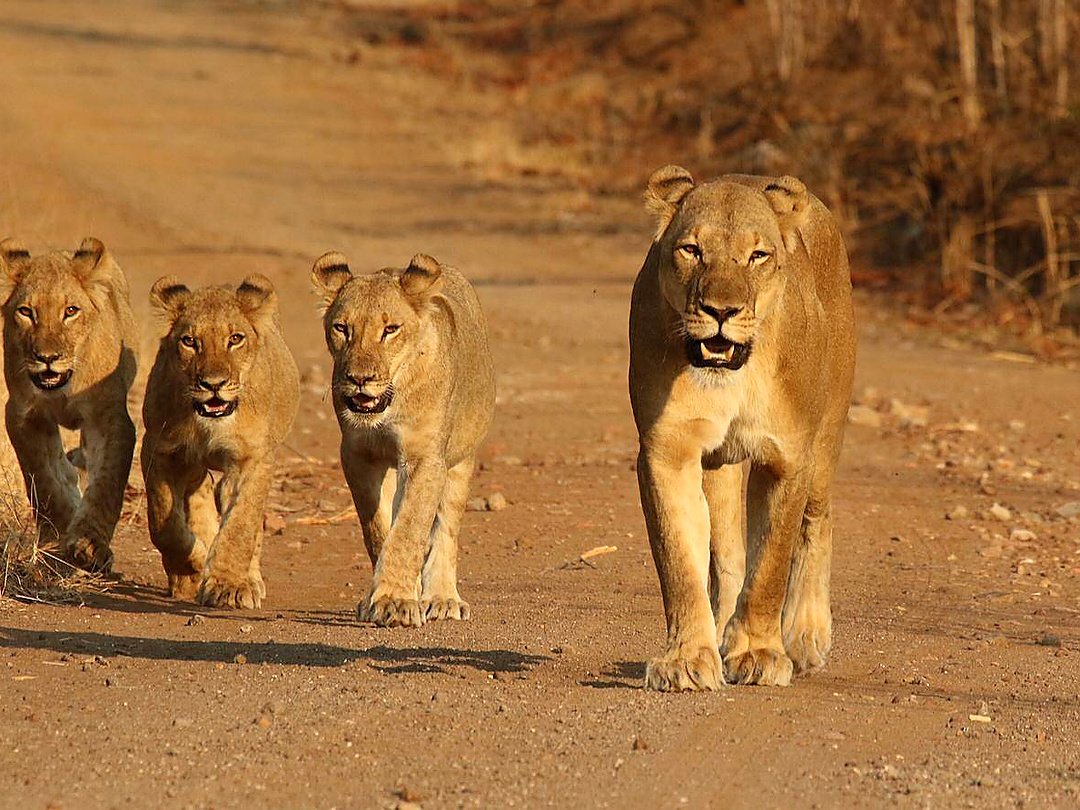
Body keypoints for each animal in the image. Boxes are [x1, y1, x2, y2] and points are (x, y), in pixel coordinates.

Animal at [1, 237, 138, 571]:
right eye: (26, 312)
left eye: (71, 311)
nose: (47, 357)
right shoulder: (23, 414)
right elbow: (42, 479)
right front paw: (59, 535)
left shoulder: (109, 417)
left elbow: (107, 483)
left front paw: (89, 545)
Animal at [141, 274, 299, 609]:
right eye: (189, 341)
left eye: (235, 338)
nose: (213, 384)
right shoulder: (159, 450)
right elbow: (163, 524)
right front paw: (192, 568)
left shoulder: (253, 459)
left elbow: (241, 525)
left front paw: (230, 586)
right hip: (192, 466)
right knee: (198, 497)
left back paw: (249, 579)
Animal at [311, 251, 495, 627]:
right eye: (342, 328)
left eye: (390, 329)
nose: (360, 379)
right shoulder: (358, 455)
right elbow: (379, 529)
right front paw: (392, 595)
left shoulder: (425, 457)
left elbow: (410, 528)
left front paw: (394, 601)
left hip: (461, 458)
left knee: (446, 528)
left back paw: (442, 598)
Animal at [629, 166, 856, 690]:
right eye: (692, 249)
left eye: (758, 256)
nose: (721, 312)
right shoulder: (667, 451)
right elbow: (680, 560)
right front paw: (687, 659)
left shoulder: (787, 457)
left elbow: (770, 563)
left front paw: (757, 652)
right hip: (720, 463)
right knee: (728, 556)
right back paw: (722, 630)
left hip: (824, 442)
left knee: (817, 521)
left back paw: (806, 635)